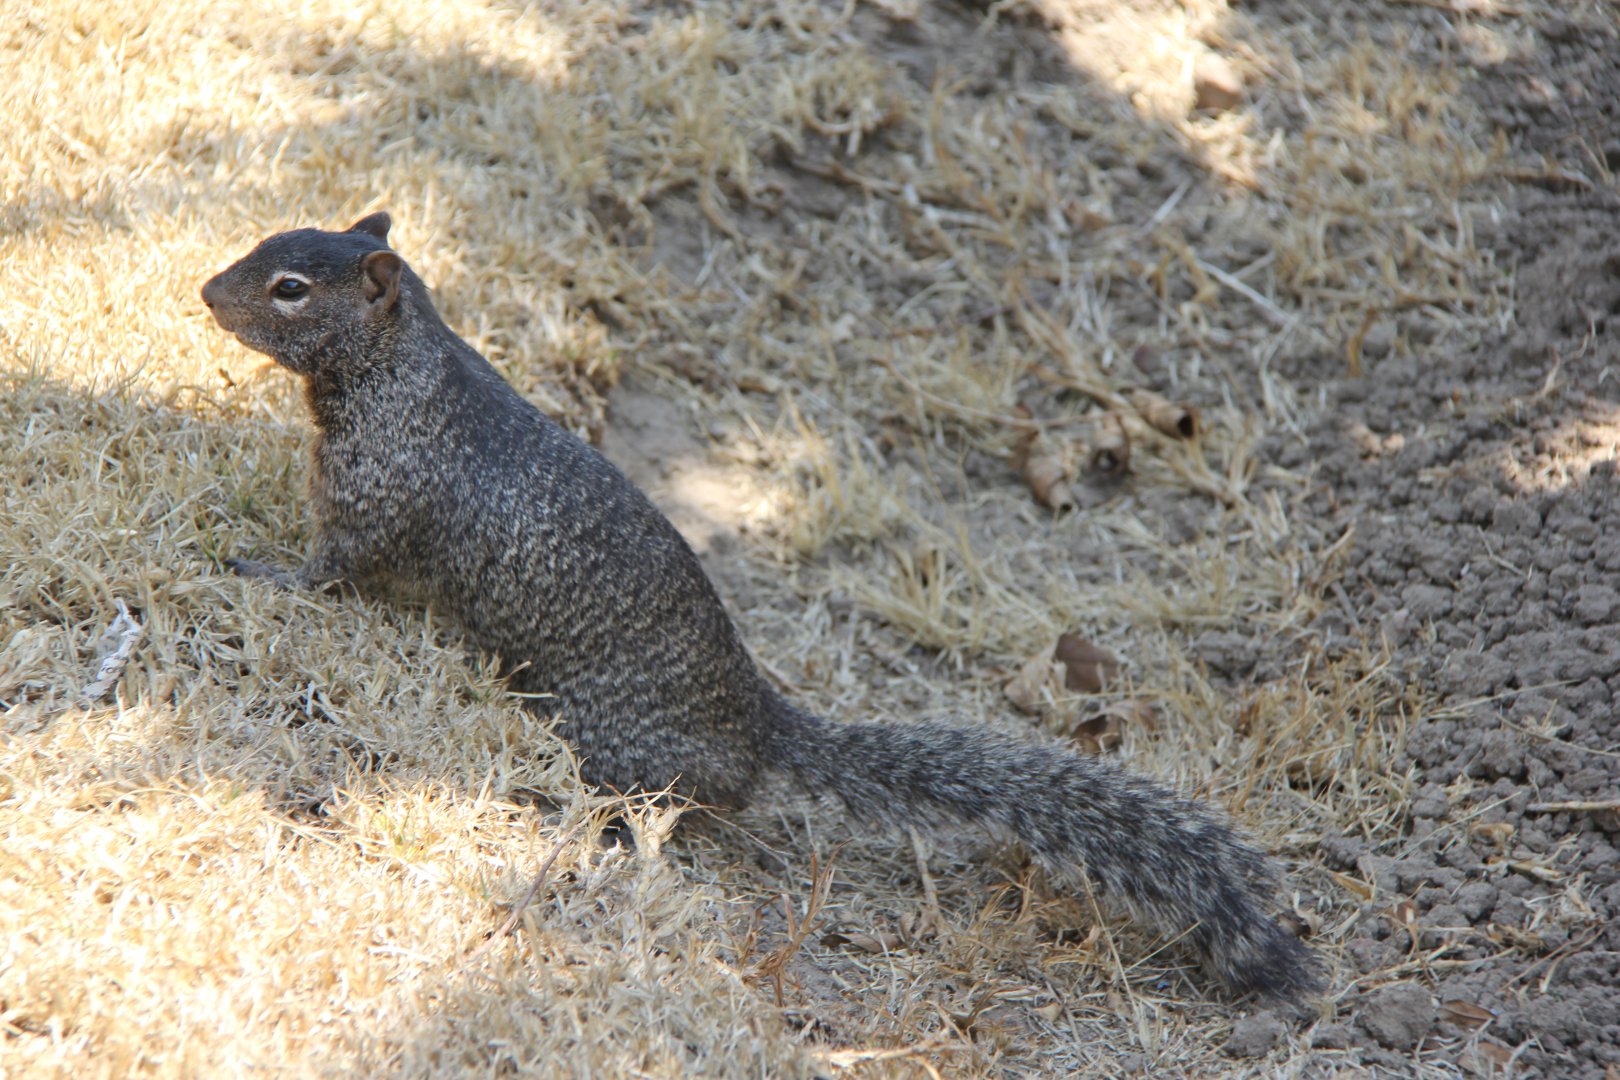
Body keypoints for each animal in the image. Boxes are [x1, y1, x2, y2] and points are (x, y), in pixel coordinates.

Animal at [201, 213, 1323, 1001]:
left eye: (292, 289)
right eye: (265, 242)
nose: (208, 290)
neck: (403, 371)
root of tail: (758, 725)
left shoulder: (372, 505)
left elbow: (331, 569)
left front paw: (255, 568)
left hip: (621, 748)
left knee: (665, 812)